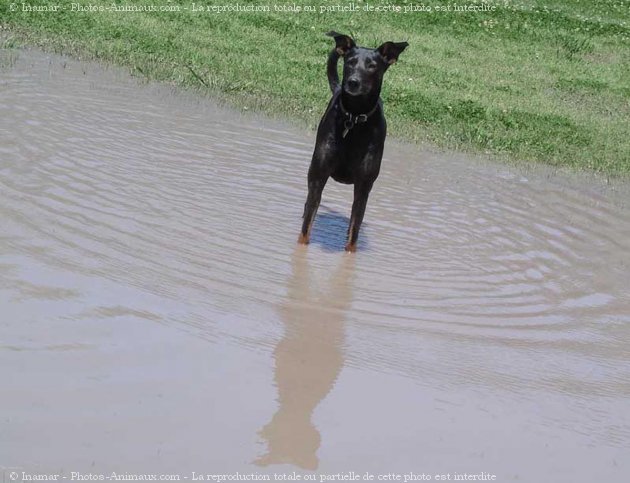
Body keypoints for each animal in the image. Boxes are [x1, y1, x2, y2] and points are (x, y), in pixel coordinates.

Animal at [300, 30, 410, 253]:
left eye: (372, 66)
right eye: (350, 62)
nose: (352, 82)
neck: (354, 118)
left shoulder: (364, 186)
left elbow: (354, 233)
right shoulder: (318, 178)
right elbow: (306, 229)